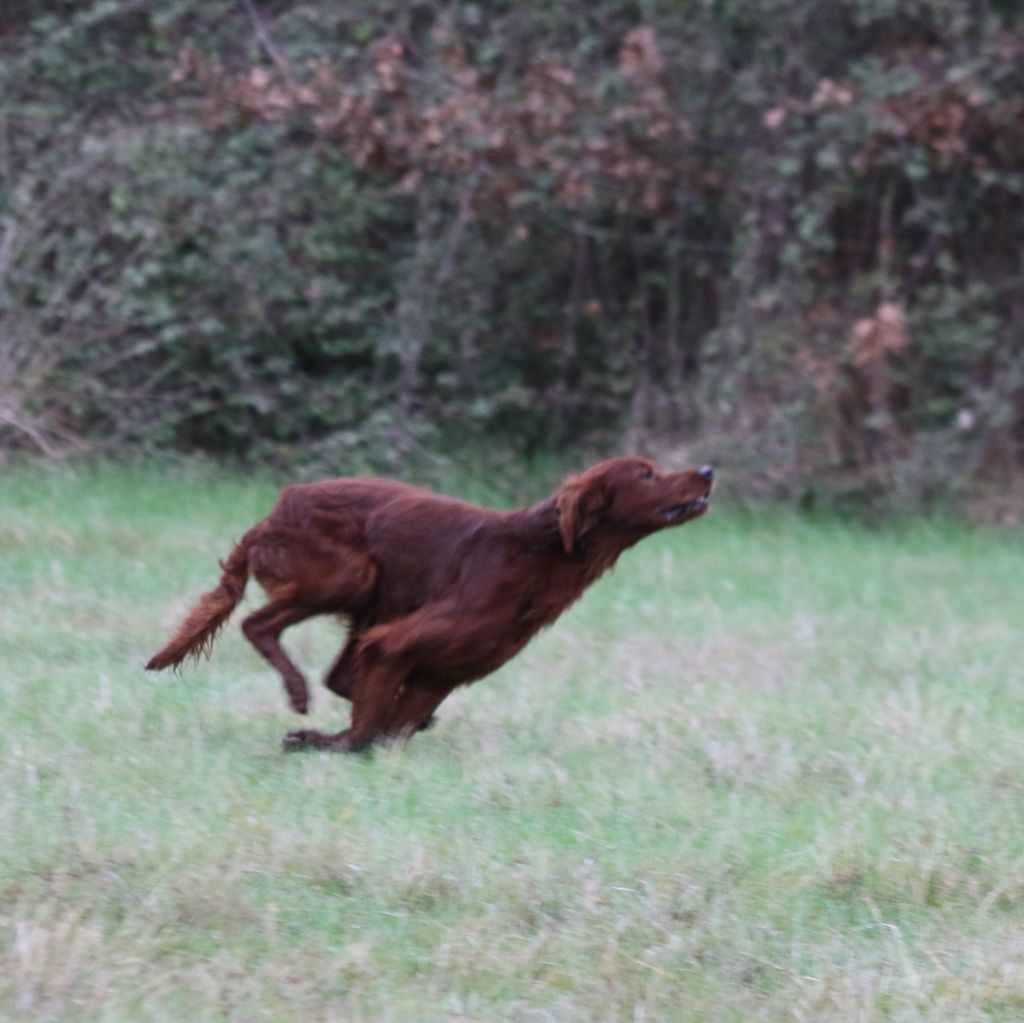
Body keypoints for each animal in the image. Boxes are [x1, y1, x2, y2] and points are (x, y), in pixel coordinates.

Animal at [146, 456, 712, 753]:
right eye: (645, 475)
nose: (707, 470)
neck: (540, 552)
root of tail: (271, 514)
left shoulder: (443, 670)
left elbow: (387, 727)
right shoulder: (397, 643)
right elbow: (365, 735)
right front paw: (310, 738)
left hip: (371, 596)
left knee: (334, 672)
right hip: (350, 575)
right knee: (258, 626)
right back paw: (297, 692)